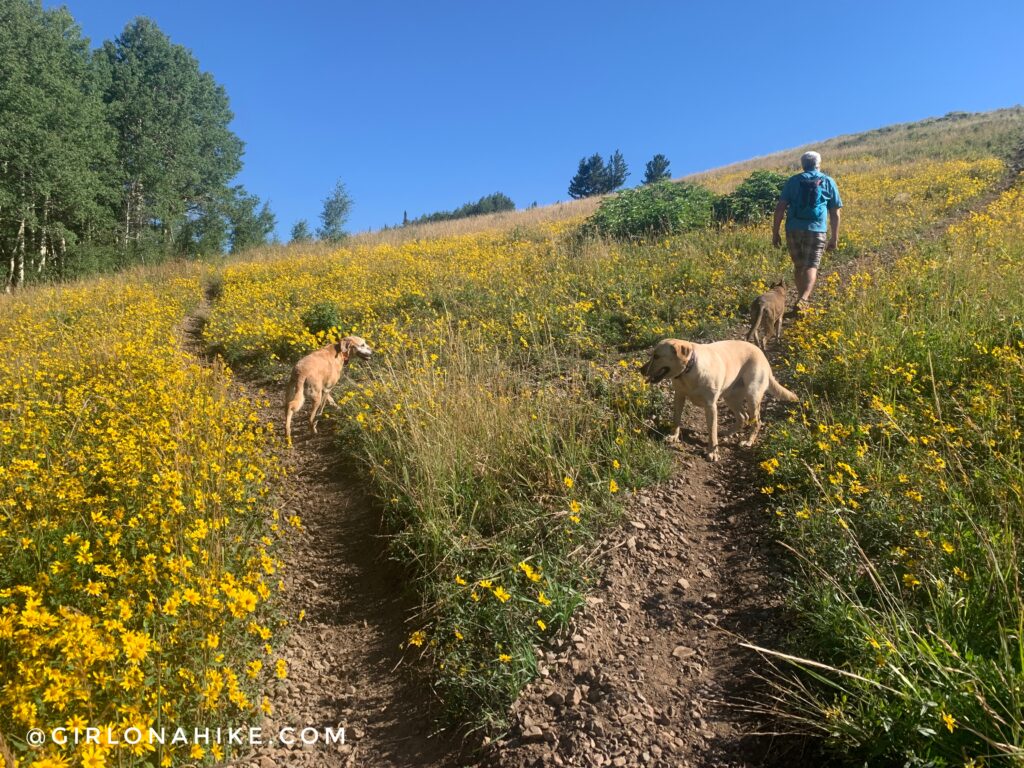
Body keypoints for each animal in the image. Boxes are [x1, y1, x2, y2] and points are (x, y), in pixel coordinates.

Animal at [638, 337, 798, 460]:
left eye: (656, 356)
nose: (641, 370)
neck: (689, 370)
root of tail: (762, 354)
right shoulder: (679, 396)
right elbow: (676, 419)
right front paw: (673, 436)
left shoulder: (710, 406)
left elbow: (712, 431)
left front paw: (713, 452)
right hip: (730, 397)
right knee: (743, 417)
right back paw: (727, 433)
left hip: (752, 397)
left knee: (756, 421)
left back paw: (748, 441)